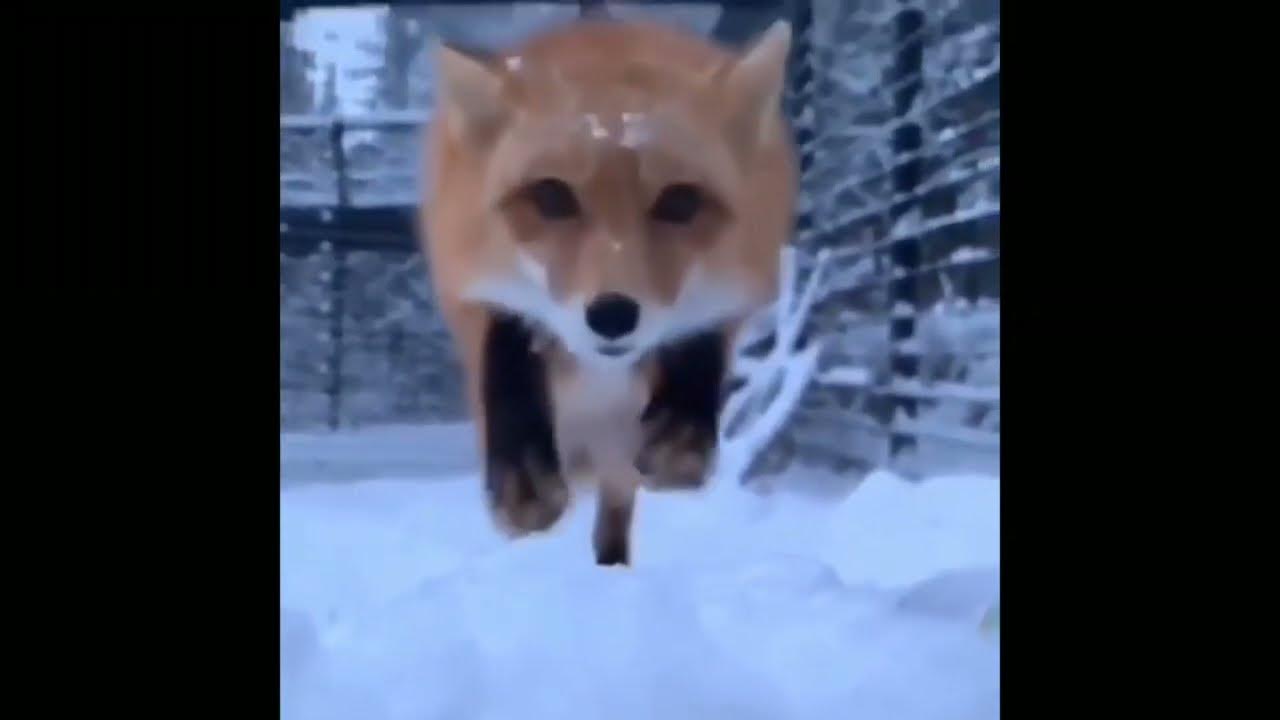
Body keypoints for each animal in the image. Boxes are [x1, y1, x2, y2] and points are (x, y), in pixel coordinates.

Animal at [421, 17, 797, 566]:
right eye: (551, 196)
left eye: (680, 201)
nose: (613, 316)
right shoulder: (466, 282)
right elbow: (506, 348)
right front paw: (523, 476)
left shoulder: (743, 281)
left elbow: (699, 334)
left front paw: (681, 435)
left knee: (614, 517)